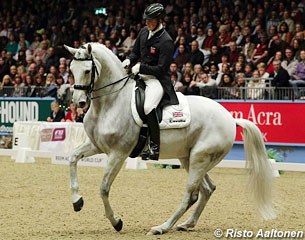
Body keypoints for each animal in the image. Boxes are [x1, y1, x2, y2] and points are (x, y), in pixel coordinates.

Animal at [63, 42, 274, 234]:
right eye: (72, 69)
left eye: (88, 70)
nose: (79, 102)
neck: (110, 103)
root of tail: (230, 118)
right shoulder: (96, 145)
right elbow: (72, 158)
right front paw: (77, 201)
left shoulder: (118, 153)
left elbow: (104, 188)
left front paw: (116, 222)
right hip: (190, 158)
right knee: (207, 189)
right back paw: (186, 224)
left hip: (200, 158)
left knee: (191, 194)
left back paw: (162, 227)